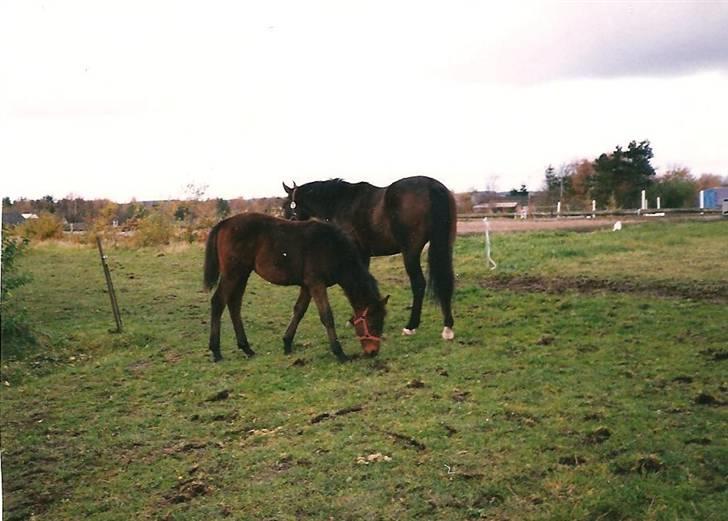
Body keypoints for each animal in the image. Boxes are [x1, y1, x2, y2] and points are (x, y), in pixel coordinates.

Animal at [203, 213, 388, 363]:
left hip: (242, 274)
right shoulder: (316, 283)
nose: (372, 352)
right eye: (373, 323)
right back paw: (216, 352)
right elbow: (326, 316)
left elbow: (299, 311)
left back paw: (246, 348)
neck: (331, 248)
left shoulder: (307, 286)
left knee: (234, 304)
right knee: (218, 302)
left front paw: (287, 344)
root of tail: (224, 223)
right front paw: (339, 353)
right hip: (232, 273)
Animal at [282, 176, 456, 340]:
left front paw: (354, 319)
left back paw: (411, 326)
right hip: (443, 246)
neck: (341, 202)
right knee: (444, 280)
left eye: (286, 206)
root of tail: (432, 187)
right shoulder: (364, 254)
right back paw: (447, 327)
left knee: (419, 284)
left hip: (410, 252)